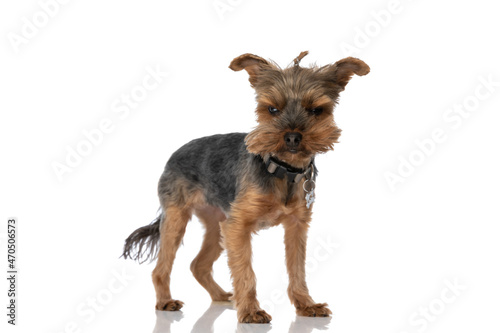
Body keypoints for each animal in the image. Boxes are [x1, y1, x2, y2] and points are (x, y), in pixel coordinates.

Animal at [123, 50, 370, 322]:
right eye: (272, 109)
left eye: (316, 110)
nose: (292, 137)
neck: (282, 169)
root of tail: (174, 155)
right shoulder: (237, 227)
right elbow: (245, 271)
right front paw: (251, 311)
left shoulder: (296, 226)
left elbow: (297, 270)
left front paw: (306, 305)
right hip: (177, 218)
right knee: (161, 267)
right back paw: (165, 301)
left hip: (216, 223)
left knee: (199, 265)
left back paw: (221, 295)